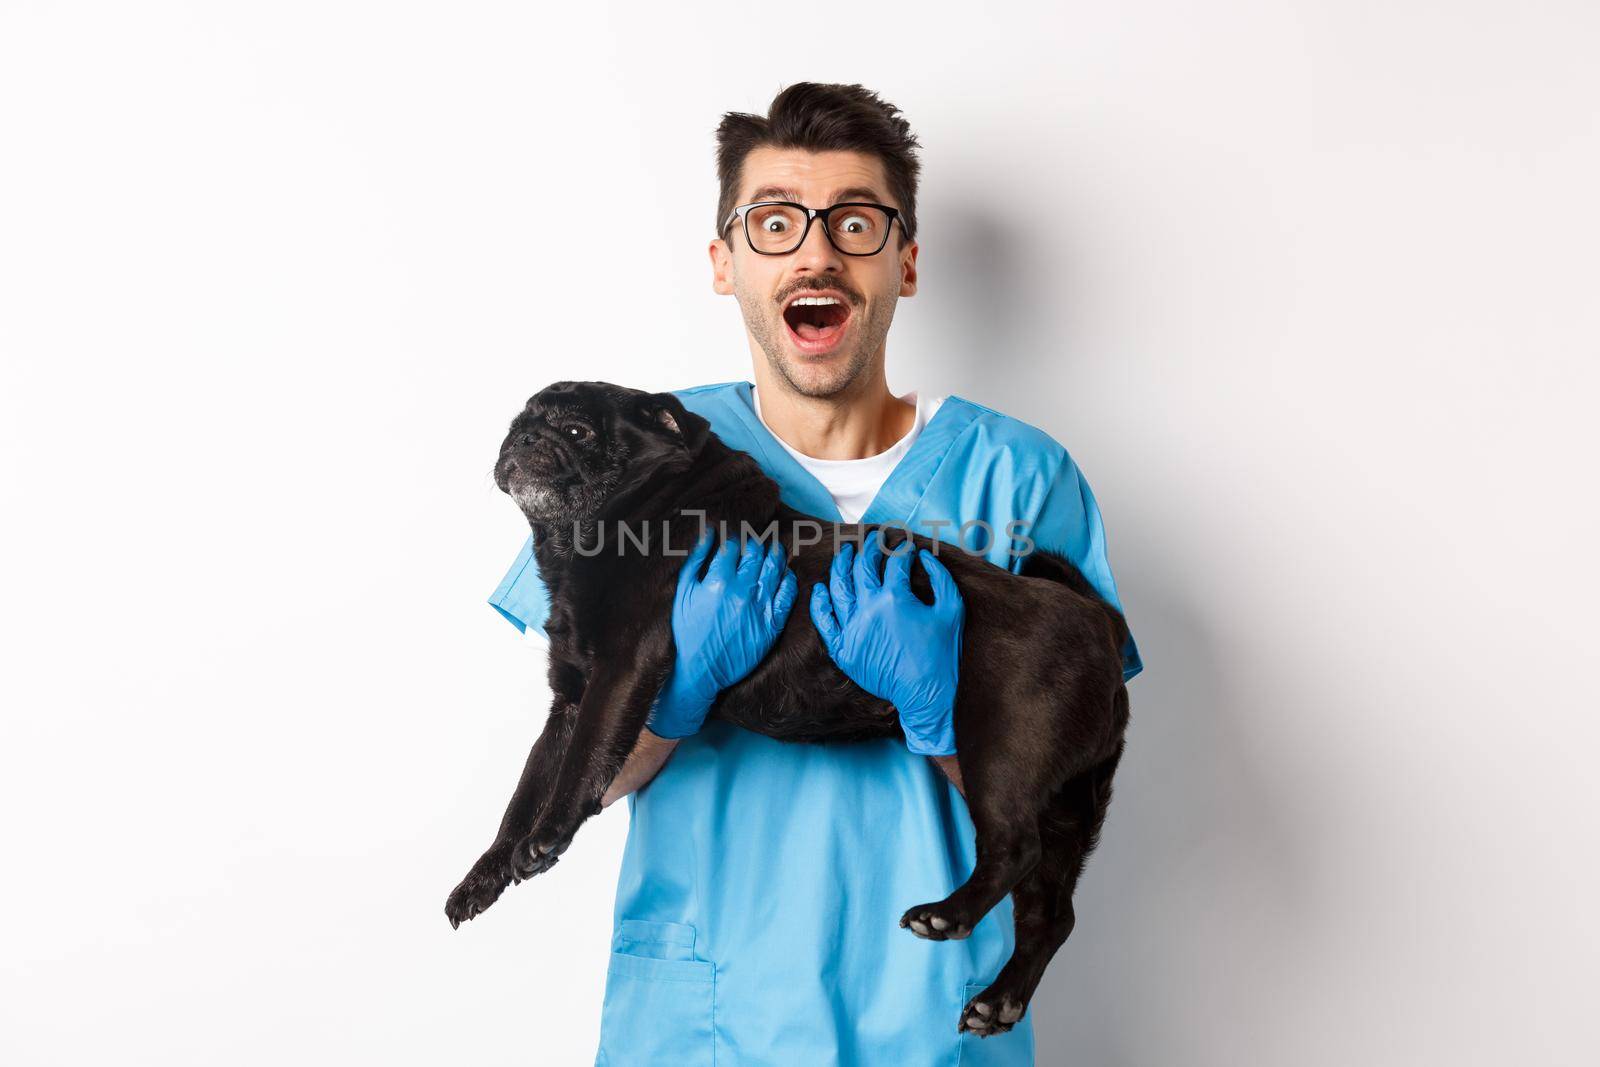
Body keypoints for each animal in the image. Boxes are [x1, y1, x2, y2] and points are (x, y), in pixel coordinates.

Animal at [444, 377, 1132, 1036]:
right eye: (519, 422)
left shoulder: (619, 676)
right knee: (1050, 912)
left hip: (999, 752)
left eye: (578, 432)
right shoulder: (568, 701)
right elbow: (525, 793)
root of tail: (1098, 622)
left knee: (1015, 848)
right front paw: (485, 875)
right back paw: (999, 1000)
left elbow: (579, 767)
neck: (586, 541)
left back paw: (948, 915)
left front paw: (546, 838)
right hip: (1060, 798)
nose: (524, 439)